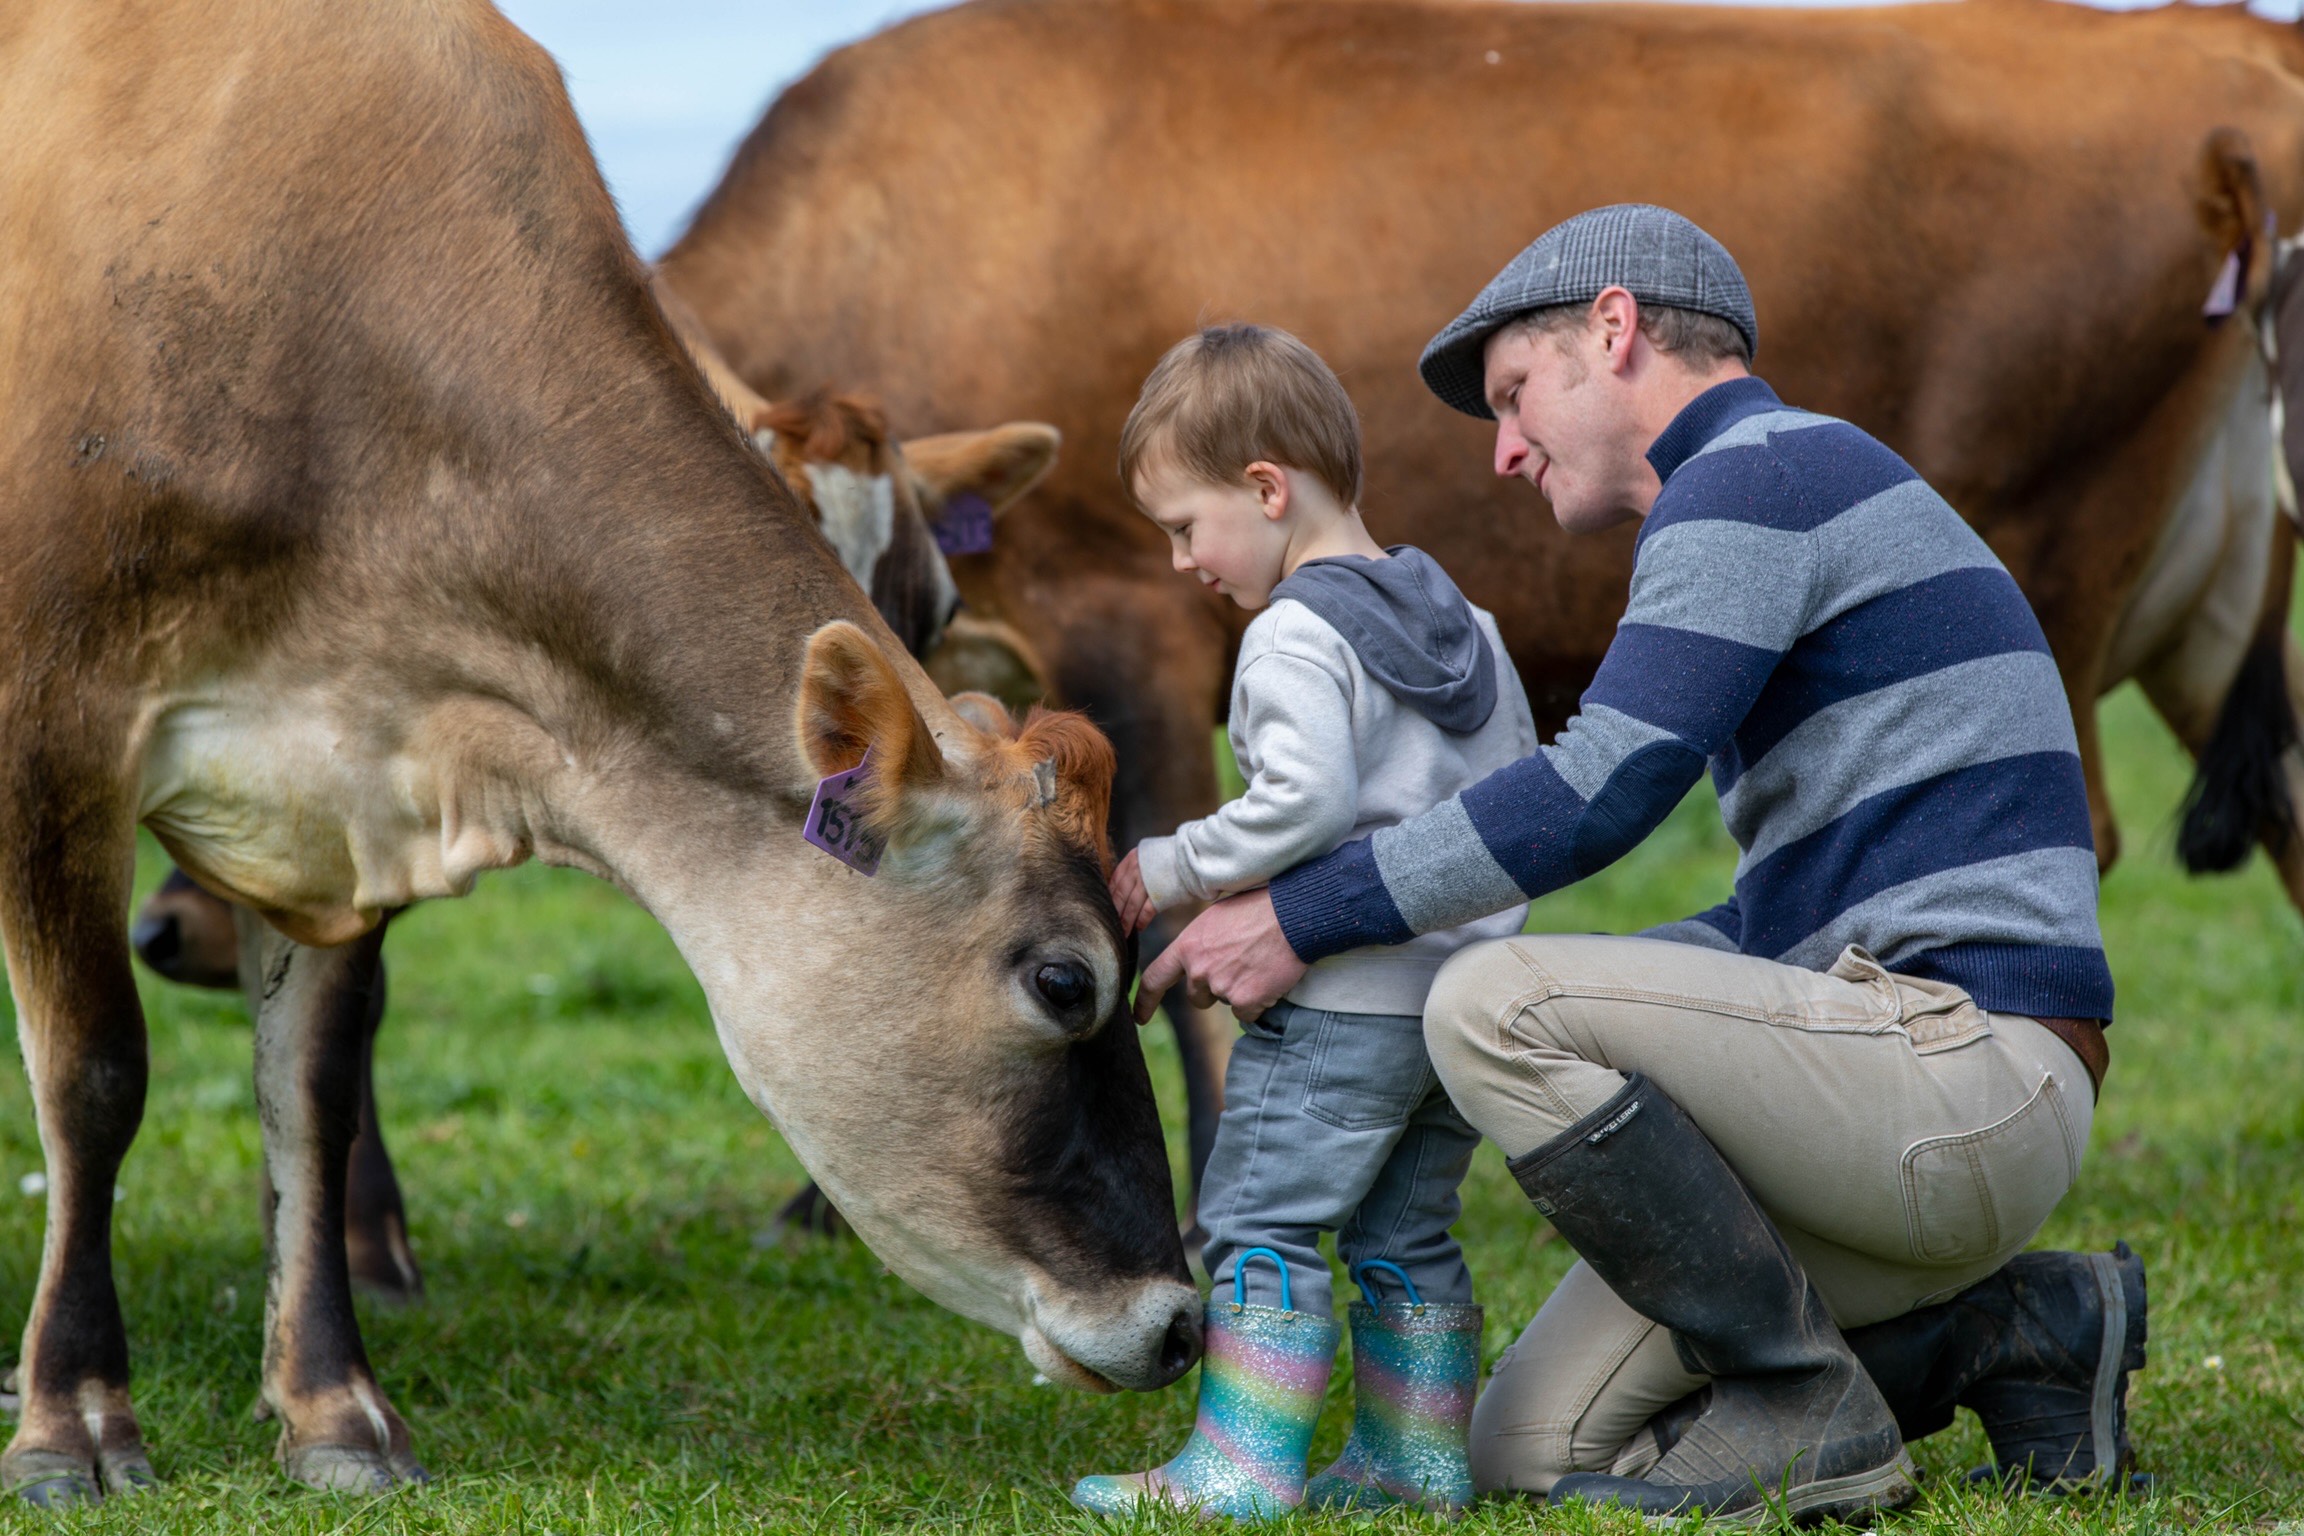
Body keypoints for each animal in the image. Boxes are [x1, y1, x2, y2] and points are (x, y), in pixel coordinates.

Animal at [0, 0, 1188, 1501]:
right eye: (1064, 980)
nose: (1181, 1322)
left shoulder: (325, 795)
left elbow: (309, 1096)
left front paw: (334, 1408)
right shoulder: (52, 728)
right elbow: (96, 1076)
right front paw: (73, 1416)